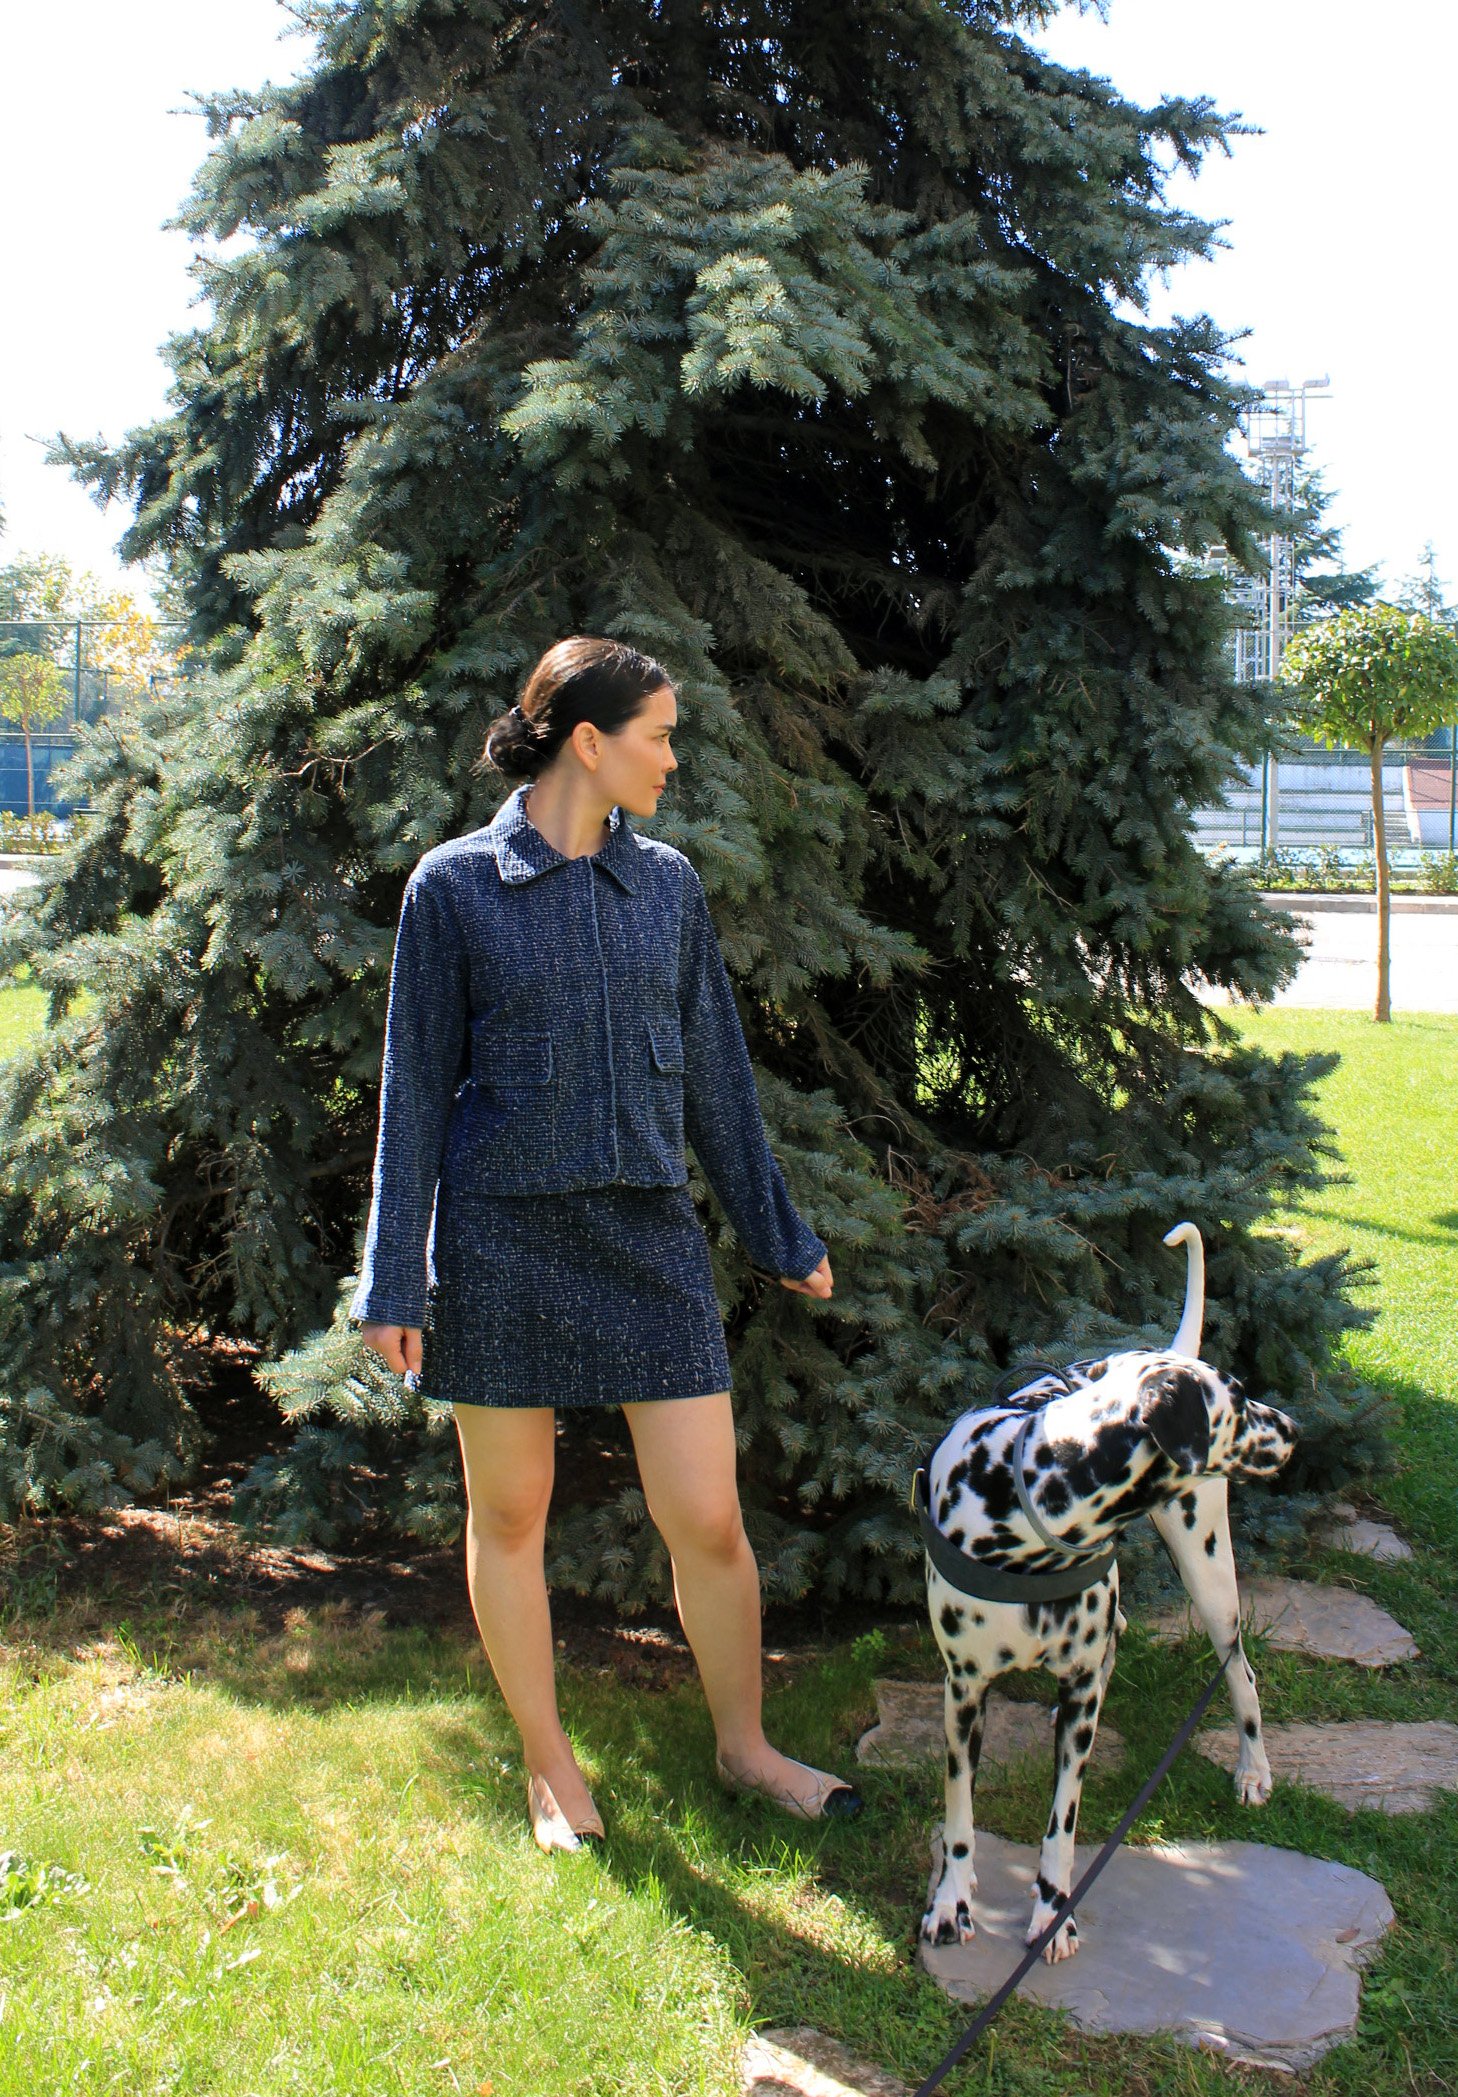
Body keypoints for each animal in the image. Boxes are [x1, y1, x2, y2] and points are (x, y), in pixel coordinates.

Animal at [917, 1223, 1298, 1963]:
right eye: (1239, 1399)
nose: (1295, 1429)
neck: (1029, 1520)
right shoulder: (963, 1693)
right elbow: (958, 1817)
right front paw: (951, 1901)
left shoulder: (1081, 1699)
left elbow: (1062, 1825)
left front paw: (1052, 1913)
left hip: (1209, 1575)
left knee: (1241, 1672)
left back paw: (1252, 1767)